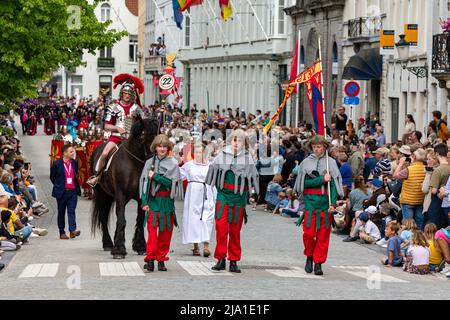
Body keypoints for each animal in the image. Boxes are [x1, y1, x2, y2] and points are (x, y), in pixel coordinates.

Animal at [90, 116, 160, 258]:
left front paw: (140, 246)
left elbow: (139, 219)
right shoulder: (121, 195)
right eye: (142, 135)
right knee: (104, 216)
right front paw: (119, 250)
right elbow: (122, 219)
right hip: (101, 194)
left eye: (156, 135)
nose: (153, 161)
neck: (134, 163)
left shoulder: (140, 197)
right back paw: (108, 243)